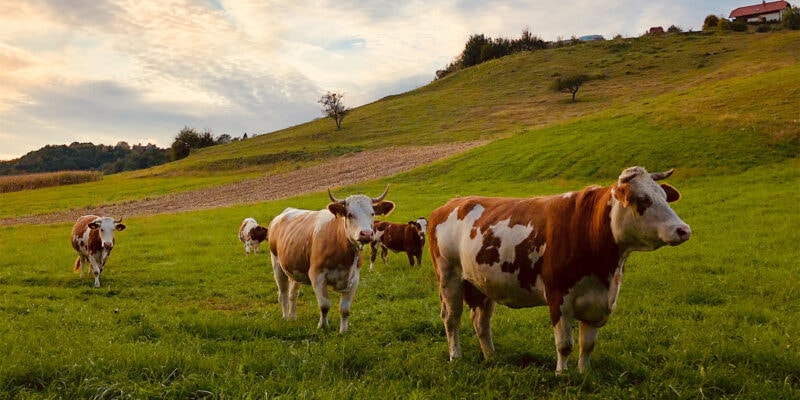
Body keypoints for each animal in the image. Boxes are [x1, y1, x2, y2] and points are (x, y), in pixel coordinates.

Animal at [268, 186, 396, 332]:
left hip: (296, 268)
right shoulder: (317, 275)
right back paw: (285, 316)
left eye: (372, 213)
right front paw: (323, 326)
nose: (367, 234)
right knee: (283, 292)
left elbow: (345, 309)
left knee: (292, 293)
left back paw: (292, 317)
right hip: (277, 264)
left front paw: (343, 331)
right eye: (349, 214)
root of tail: (284, 213)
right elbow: (324, 305)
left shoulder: (354, 278)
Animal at [428, 167, 692, 374]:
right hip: (449, 277)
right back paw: (456, 357)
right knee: (451, 318)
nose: (683, 230)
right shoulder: (558, 297)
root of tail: (451, 203)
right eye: (643, 199)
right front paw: (562, 375)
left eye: (664, 197)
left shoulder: (600, 302)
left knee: (481, 322)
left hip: (481, 283)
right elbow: (564, 344)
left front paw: (584, 373)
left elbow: (587, 345)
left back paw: (492, 357)